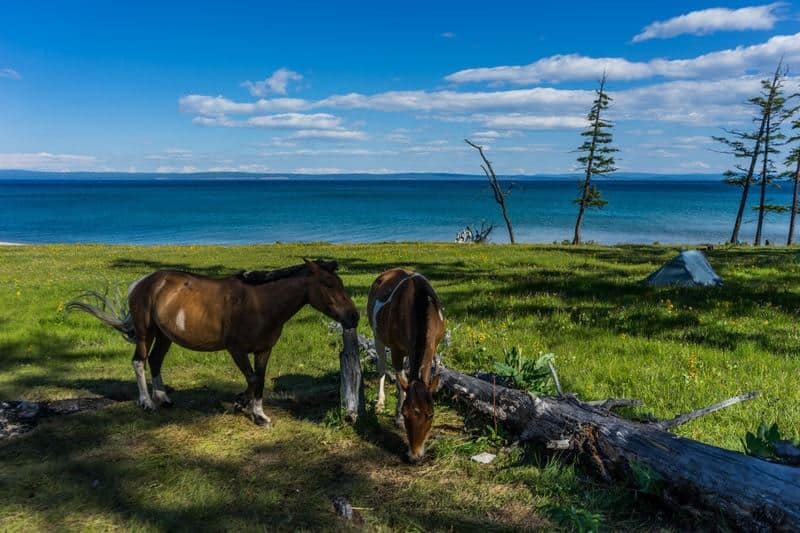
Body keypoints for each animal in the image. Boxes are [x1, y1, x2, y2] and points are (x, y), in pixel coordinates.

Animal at [69, 258, 360, 424]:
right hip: (145, 332)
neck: (259, 303)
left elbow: (260, 380)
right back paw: (147, 403)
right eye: (328, 284)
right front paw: (246, 407)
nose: (353, 316)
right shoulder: (236, 349)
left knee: (155, 361)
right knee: (139, 362)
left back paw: (163, 398)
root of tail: (143, 282)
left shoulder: (264, 350)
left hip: (165, 336)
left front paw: (257, 412)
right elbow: (252, 379)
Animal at [368, 268, 444, 460]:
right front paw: (398, 419)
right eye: (405, 412)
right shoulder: (396, 349)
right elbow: (401, 381)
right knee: (382, 366)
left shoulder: (432, 347)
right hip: (377, 335)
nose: (414, 456)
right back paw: (380, 402)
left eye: (430, 414)